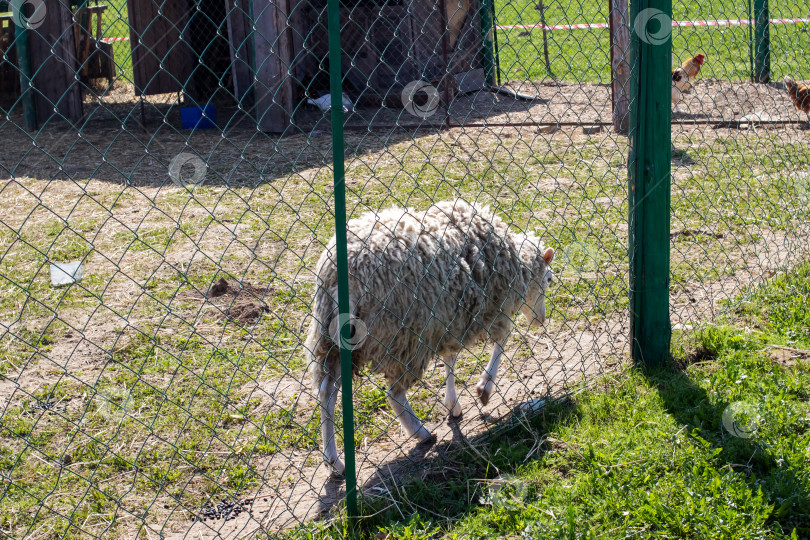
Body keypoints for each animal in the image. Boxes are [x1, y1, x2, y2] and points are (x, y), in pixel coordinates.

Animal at [306, 198, 552, 472]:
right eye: (548, 280)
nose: (541, 320)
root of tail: (344, 272)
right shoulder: (493, 306)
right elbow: (502, 341)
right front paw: (484, 388)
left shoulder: (451, 316)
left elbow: (450, 358)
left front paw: (453, 403)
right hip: (403, 334)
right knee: (394, 393)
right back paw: (420, 433)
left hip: (333, 339)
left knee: (327, 392)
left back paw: (334, 461)